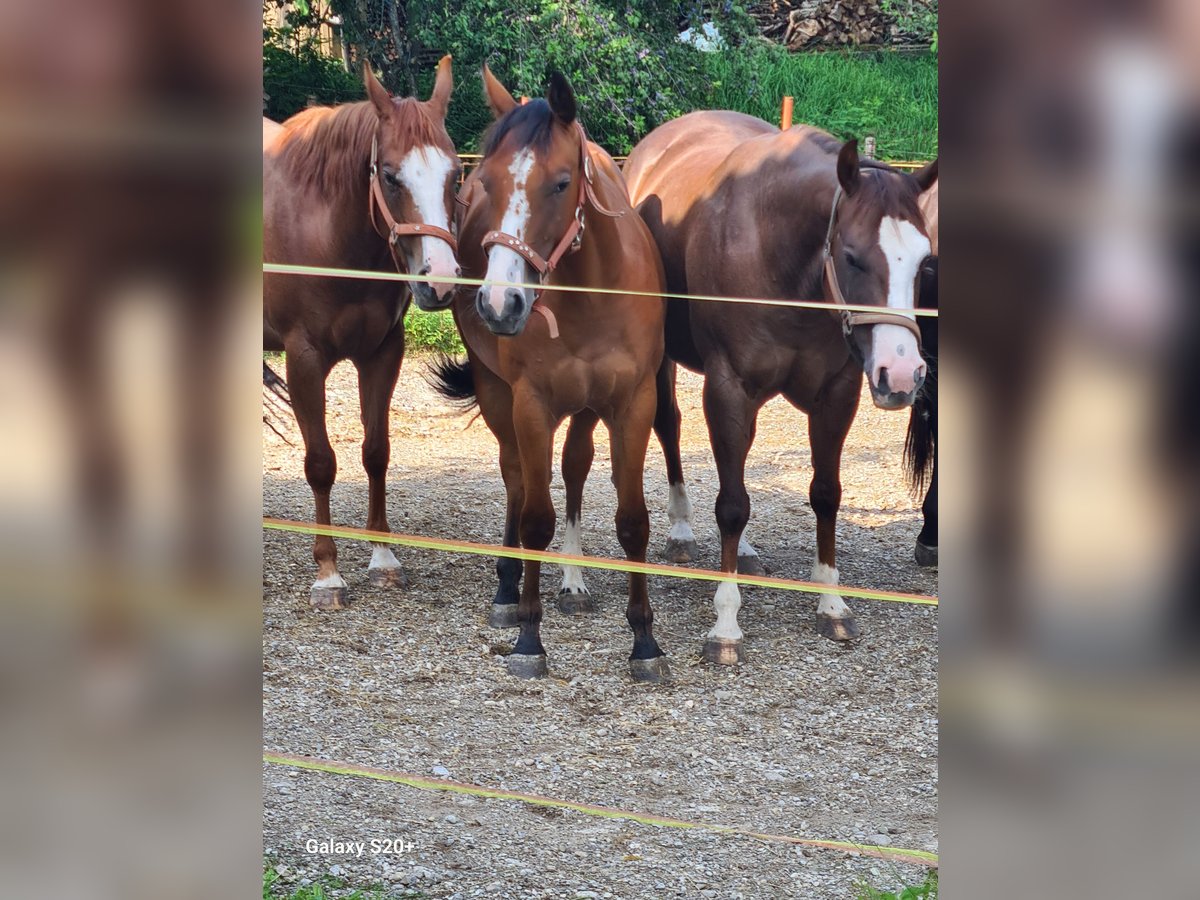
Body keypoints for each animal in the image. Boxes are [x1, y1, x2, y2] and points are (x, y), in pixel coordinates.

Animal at [262, 58, 458, 614]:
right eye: (390, 176)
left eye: (455, 174)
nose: (439, 281)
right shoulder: (303, 359)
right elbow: (321, 463)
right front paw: (328, 573)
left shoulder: (382, 353)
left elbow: (376, 452)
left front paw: (384, 558)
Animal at [432, 68, 672, 681]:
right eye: (486, 183)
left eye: (562, 184)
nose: (500, 304)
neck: (590, 292)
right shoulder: (531, 404)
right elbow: (535, 517)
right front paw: (528, 638)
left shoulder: (632, 404)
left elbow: (632, 520)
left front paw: (645, 642)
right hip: (498, 396)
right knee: (517, 478)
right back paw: (507, 589)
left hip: (586, 409)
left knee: (574, 468)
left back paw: (573, 580)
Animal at [624, 111, 940, 662]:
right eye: (853, 257)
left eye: (924, 262)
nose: (902, 375)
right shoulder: (727, 389)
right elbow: (730, 505)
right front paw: (726, 623)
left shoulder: (837, 395)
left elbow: (826, 495)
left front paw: (831, 602)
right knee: (669, 427)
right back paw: (681, 529)